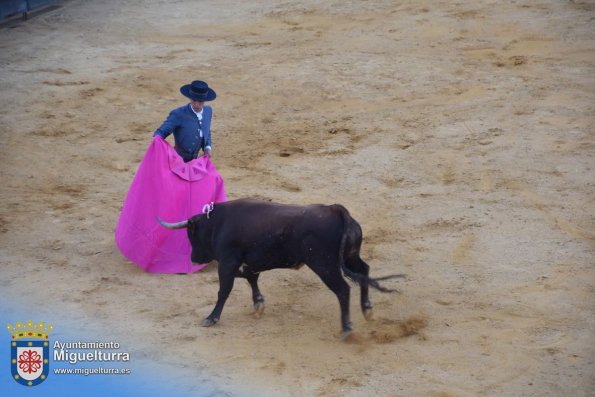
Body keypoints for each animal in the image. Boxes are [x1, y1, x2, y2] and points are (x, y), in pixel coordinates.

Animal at [157, 197, 406, 334]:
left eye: (191, 233)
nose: (193, 259)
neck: (218, 222)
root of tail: (337, 210)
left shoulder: (227, 262)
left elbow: (224, 289)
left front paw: (211, 318)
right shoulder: (249, 262)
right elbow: (250, 277)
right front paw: (258, 303)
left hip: (323, 264)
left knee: (343, 289)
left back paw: (346, 328)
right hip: (350, 256)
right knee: (364, 272)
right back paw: (367, 309)